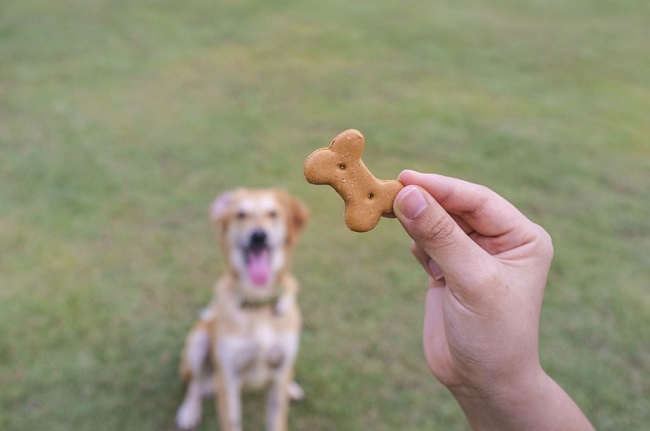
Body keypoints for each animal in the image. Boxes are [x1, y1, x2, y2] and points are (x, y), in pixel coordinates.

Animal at [176, 189, 308, 431]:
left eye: (272, 213)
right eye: (240, 215)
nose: (259, 236)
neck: (258, 303)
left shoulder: (279, 370)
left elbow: (277, 419)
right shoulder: (228, 379)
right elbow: (231, 421)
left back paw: (292, 387)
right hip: (198, 342)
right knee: (194, 384)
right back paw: (189, 410)